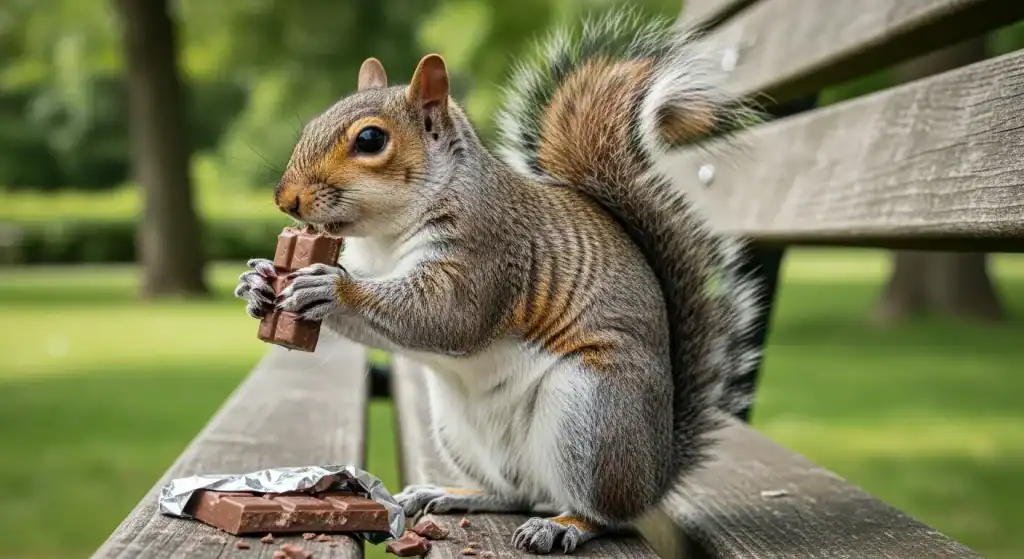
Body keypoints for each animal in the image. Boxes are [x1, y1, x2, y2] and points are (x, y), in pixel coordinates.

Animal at [235, 9, 760, 555]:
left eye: (370, 140)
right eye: (312, 123)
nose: (285, 198)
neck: (384, 238)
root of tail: (655, 477)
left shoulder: (487, 253)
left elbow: (448, 318)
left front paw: (333, 290)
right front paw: (258, 281)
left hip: (592, 413)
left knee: (605, 514)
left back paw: (564, 525)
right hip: (459, 428)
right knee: (516, 492)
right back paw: (450, 494)